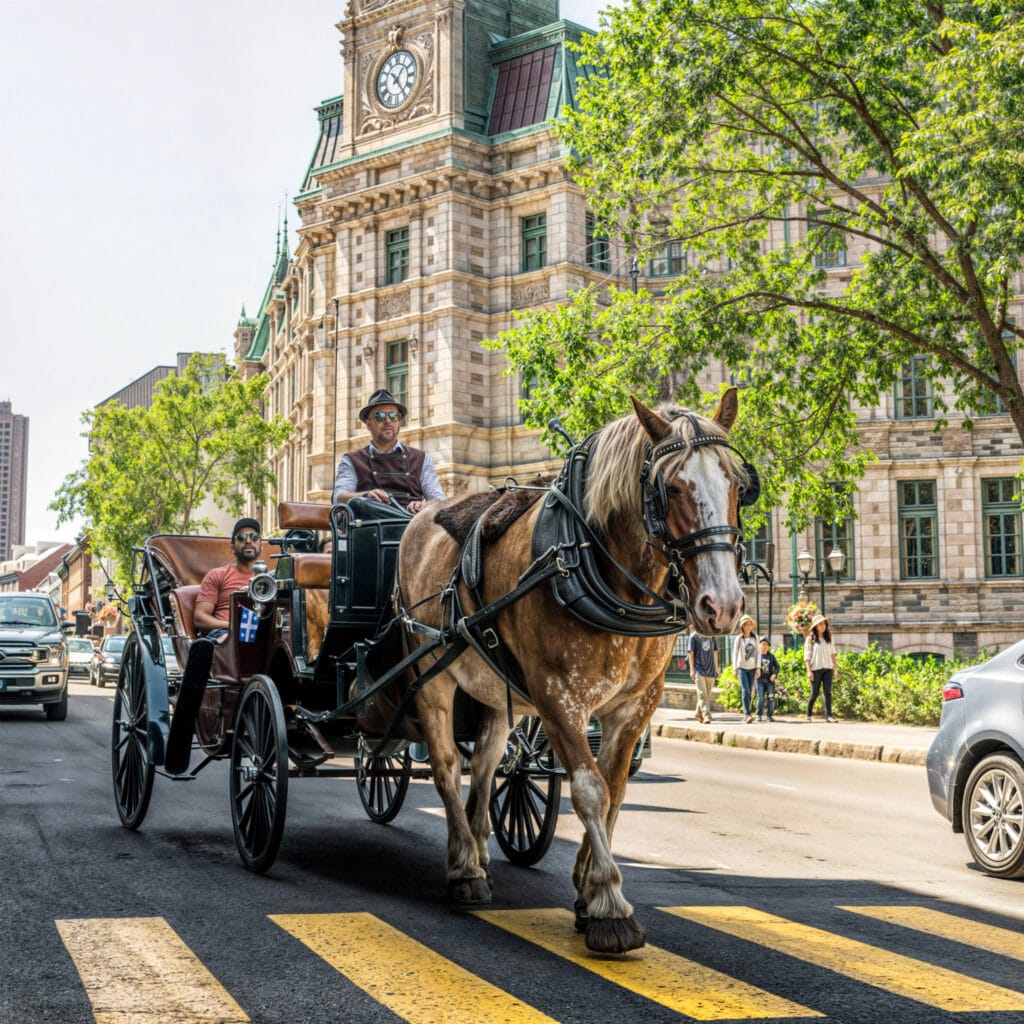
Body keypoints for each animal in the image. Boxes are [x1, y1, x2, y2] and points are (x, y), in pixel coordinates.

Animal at [395, 388, 749, 953]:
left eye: (738, 484)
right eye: (671, 488)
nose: (724, 606)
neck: (585, 562)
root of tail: (419, 515)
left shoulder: (636, 705)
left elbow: (615, 789)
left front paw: (586, 888)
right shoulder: (557, 696)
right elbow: (589, 789)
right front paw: (609, 904)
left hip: (495, 687)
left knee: (488, 762)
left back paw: (480, 846)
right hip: (433, 672)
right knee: (448, 763)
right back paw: (464, 866)